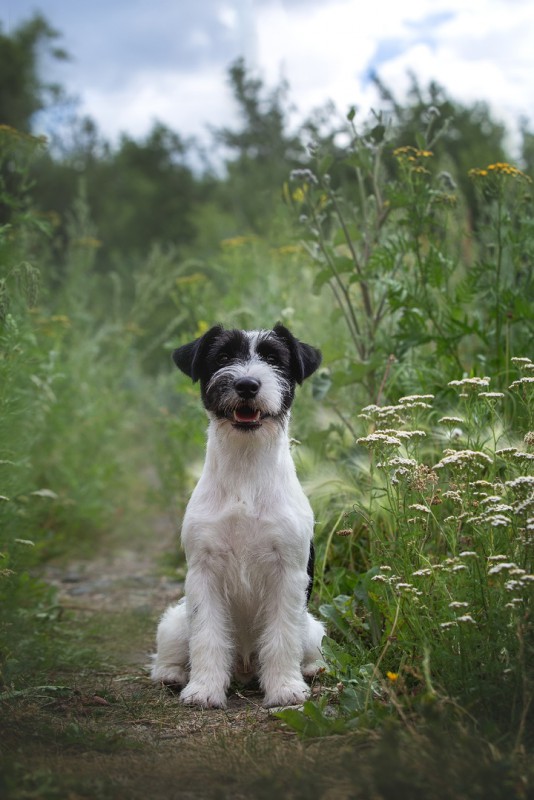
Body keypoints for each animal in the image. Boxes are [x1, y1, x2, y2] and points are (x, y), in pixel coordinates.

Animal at [151, 322, 326, 708]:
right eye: (223, 357)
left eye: (274, 358)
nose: (247, 384)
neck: (245, 470)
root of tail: (245, 668)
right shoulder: (203, 573)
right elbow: (207, 637)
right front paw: (203, 690)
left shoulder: (287, 574)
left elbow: (282, 637)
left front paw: (285, 689)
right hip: (175, 620)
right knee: (170, 650)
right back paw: (171, 674)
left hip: (312, 627)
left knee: (308, 647)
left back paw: (312, 669)